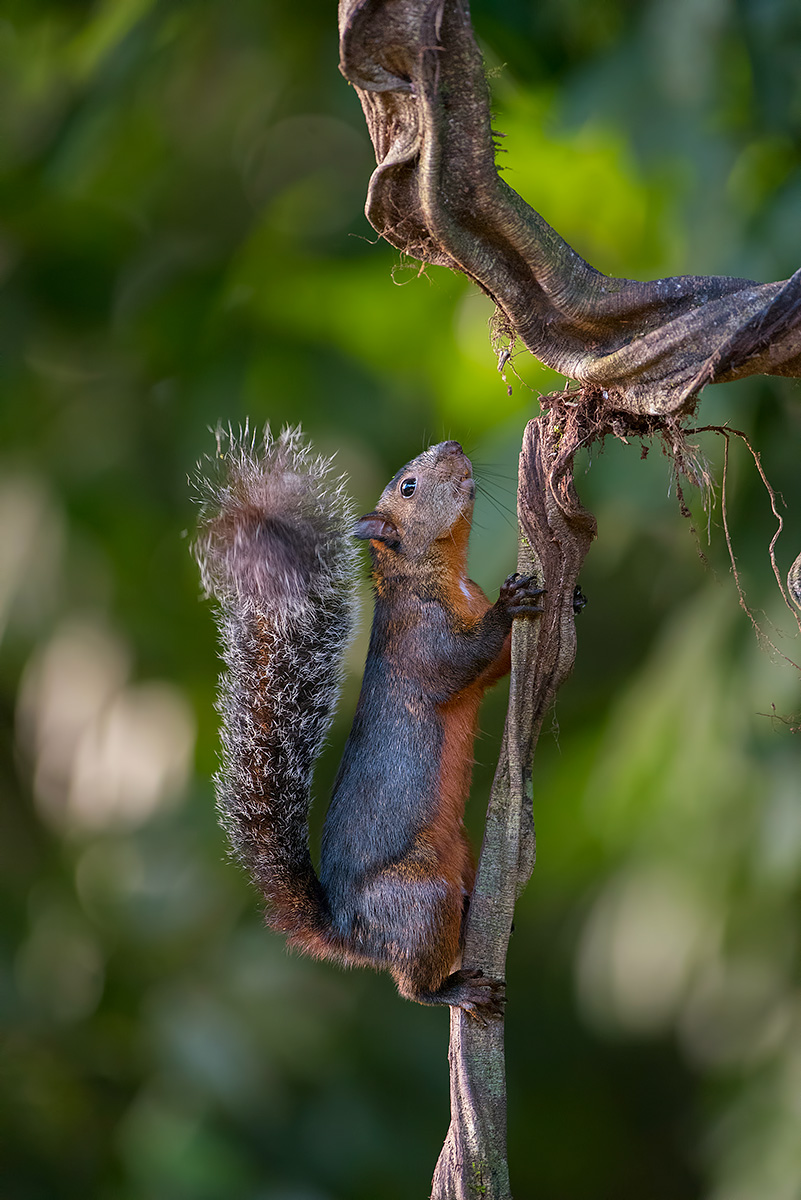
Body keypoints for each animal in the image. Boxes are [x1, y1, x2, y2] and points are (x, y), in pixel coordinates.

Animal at [194, 426, 544, 1017]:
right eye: (408, 487)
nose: (454, 445)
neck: (438, 572)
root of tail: (348, 931)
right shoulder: (419, 638)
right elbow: (462, 662)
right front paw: (508, 604)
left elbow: (496, 666)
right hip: (420, 900)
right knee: (412, 985)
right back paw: (457, 989)